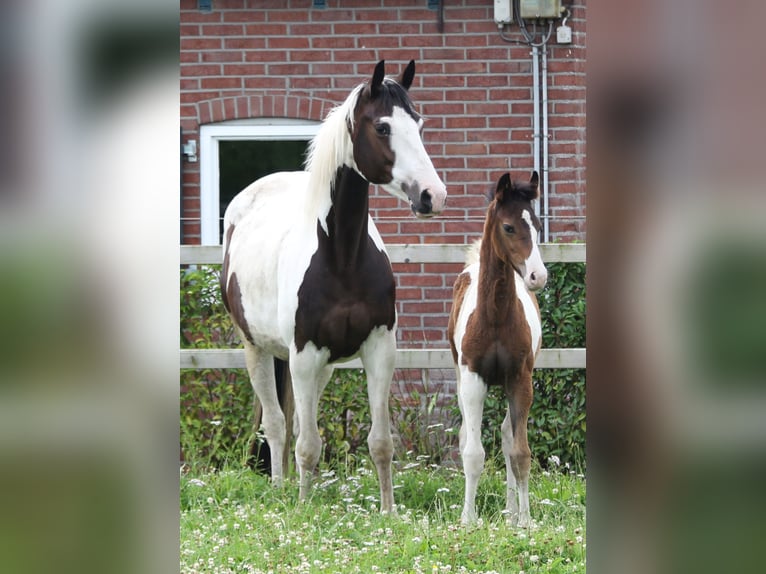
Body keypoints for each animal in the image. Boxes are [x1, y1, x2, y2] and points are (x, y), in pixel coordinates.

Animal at [222, 62, 448, 512]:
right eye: (382, 127)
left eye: (418, 123)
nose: (433, 195)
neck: (342, 258)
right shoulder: (304, 354)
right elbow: (307, 445)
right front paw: (303, 509)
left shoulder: (378, 349)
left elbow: (380, 443)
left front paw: (388, 511)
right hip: (258, 350)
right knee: (277, 425)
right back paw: (281, 492)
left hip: (316, 366)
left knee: (292, 423)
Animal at [448, 170, 548, 528]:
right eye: (508, 227)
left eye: (537, 224)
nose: (538, 276)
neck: (493, 318)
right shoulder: (473, 378)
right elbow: (473, 452)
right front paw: (467, 518)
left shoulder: (520, 377)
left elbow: (520, 452)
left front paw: (525, 520)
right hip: (461, 378)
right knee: (467, 435)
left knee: (506, 435)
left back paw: (510, 511)